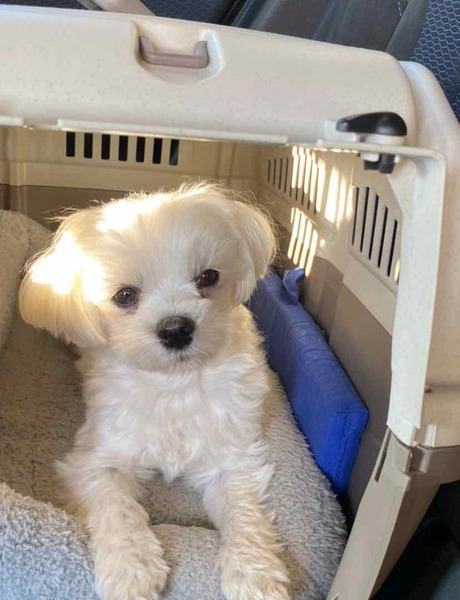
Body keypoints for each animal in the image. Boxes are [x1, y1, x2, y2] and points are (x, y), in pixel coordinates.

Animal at [19, 183, 290, 600]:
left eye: (208, 277)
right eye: (124, 296)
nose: (176, 328)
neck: (174, 383)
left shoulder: (231, 457)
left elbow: (243, 512)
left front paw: (256, 573)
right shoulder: (95, 460)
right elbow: (116, 507)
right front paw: (131, 568)